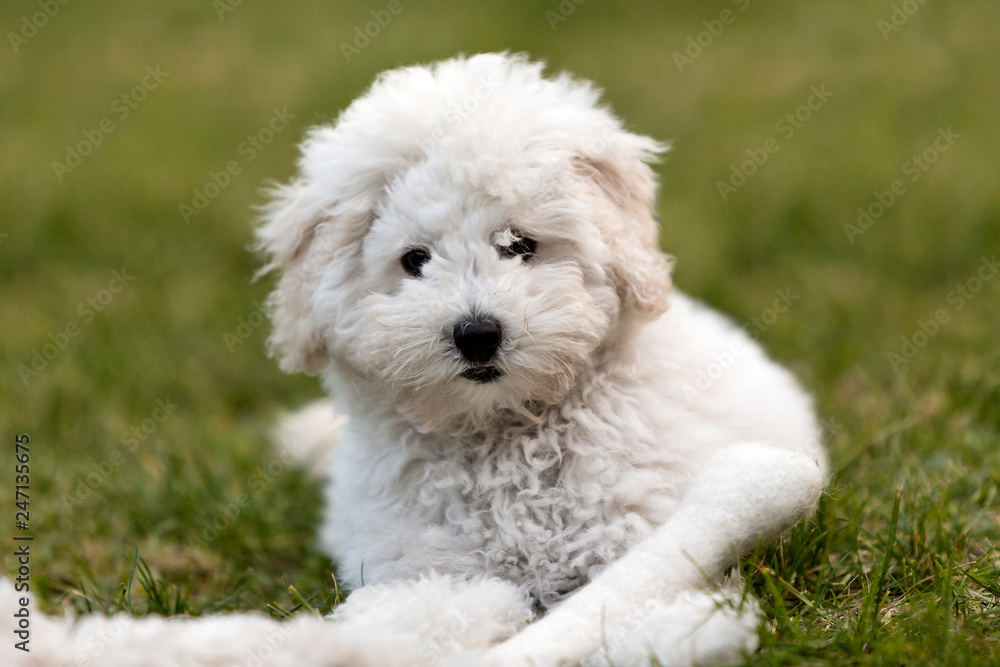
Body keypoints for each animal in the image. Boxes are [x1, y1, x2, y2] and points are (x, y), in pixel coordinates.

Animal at [260, 53, 828, 667]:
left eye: (520, 245)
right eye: (414, 260)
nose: (477, 334)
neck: (507, 434)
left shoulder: (634, 538)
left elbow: (625, 605)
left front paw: (688, 629)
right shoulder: (419, 562)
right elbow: (434, 608)